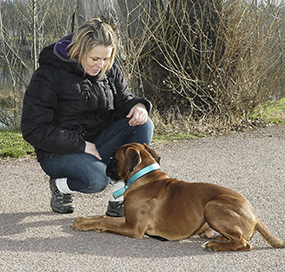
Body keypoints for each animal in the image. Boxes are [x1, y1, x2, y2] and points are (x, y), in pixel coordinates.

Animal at [71, 143, 284, 252]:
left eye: (113, 158)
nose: (106, 167)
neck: (144, 177)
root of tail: (254, 215)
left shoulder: (133, 227)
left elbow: (105, 221)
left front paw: (84, 224)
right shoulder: (128, 219)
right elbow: (103, 217)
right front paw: (83, 219)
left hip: (212, 206)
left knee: (244, 244)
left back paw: (214, 245)